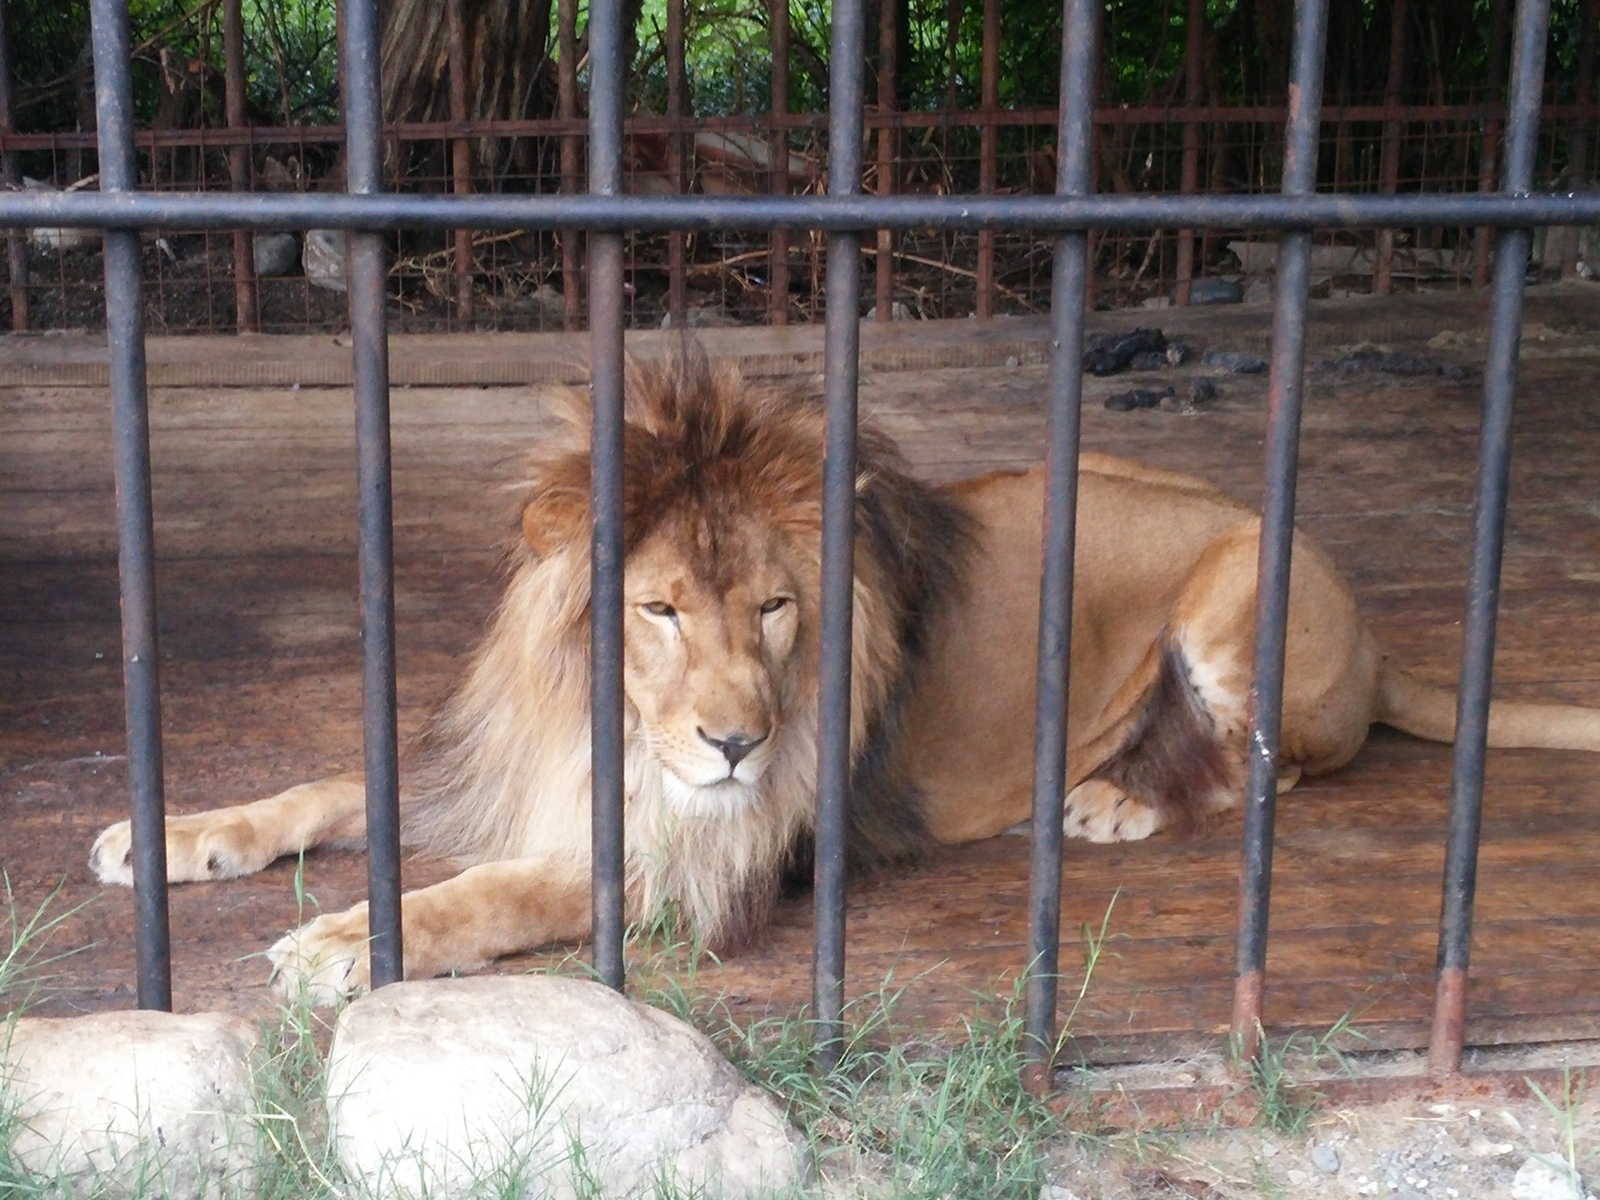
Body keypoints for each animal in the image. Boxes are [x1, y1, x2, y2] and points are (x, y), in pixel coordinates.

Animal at [84, 350, 1600, 1004]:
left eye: (774, 607)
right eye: (658, 609)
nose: (738, 747)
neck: (614, 721)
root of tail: (1385, 647)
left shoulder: (697, 859)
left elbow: (489, 896)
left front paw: (342, 942)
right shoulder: (518, 774)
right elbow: (331, 788)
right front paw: (171, 835)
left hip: (1243, 585)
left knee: (1266, 773)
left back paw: (1121, 795)